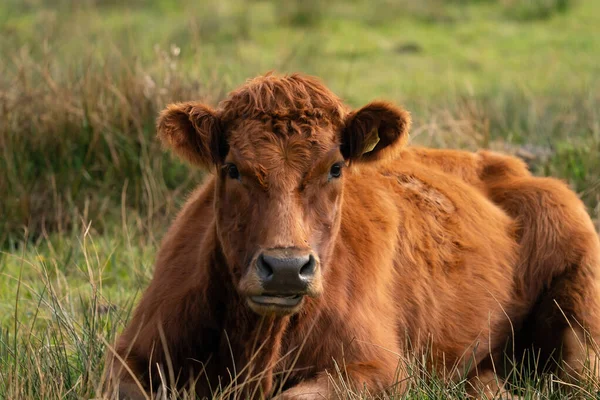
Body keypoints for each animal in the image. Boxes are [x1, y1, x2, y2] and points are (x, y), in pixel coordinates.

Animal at [105, 73, 600, 398]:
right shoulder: (129, 357)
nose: (286, 268)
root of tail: (500, 163)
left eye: (335, 168)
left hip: (580, 318)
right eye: (232, 169)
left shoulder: (376, 368)